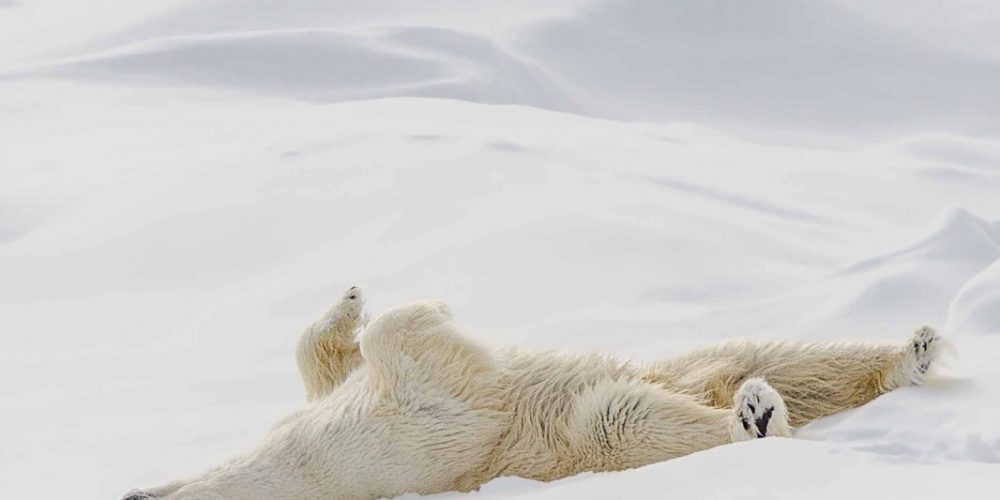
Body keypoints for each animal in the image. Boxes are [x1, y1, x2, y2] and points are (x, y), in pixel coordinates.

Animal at [121, 286, 940, 500]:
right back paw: (755, 417)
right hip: (579, 433)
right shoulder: (364, 452)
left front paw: (349, 302)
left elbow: (330, 367)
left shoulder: (311, 426)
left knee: (768, 354)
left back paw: (914, 355)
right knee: (629, 417)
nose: (138, 490)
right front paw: (425, 309)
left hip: (683, 363)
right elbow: (410, 359)